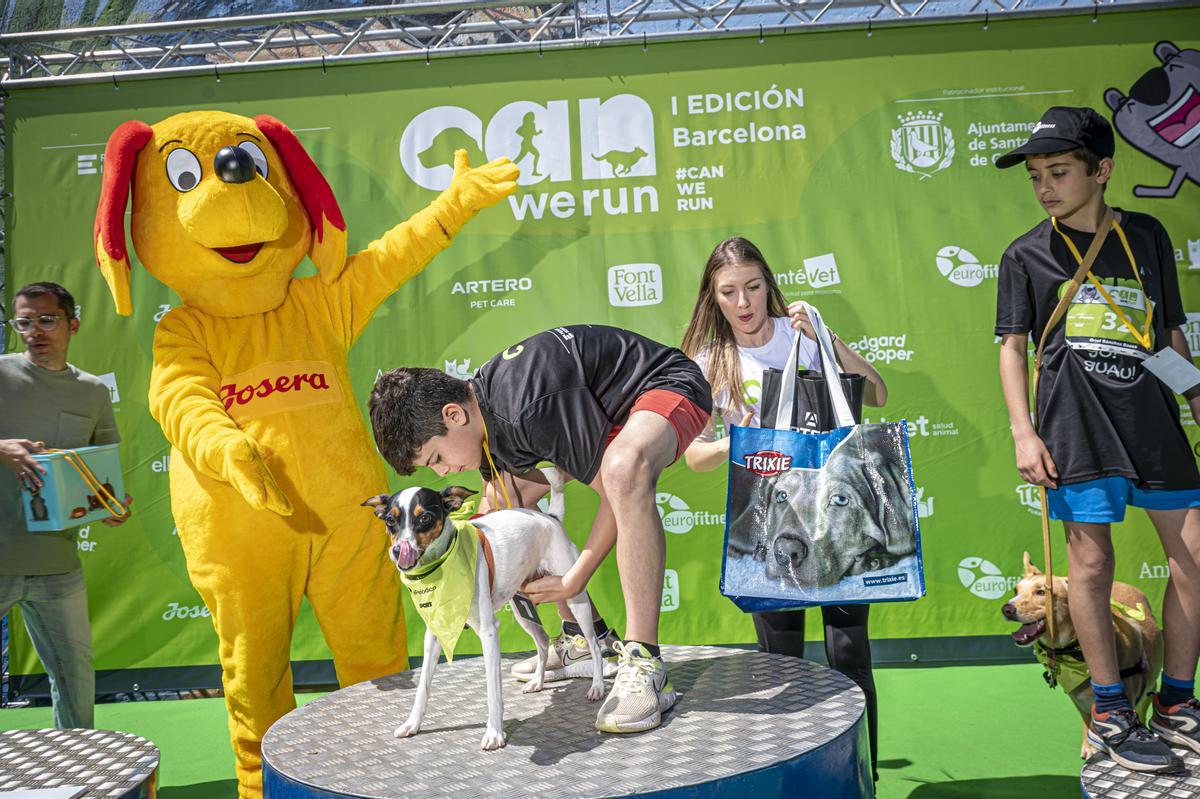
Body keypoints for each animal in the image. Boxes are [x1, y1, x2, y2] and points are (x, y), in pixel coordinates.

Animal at [352, 463, 600, 748]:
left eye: (425, 517)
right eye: (390, 521)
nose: (397, 551)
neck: (441, 568)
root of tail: (551, 518)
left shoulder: (489, 633)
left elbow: (493, 691)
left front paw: (494, 733)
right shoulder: (434, 634)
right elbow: (422, 687)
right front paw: (412, 724)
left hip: (574, 594)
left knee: (593, 644)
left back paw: (597, 687)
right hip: (523, 606)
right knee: (542, 641)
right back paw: (537, 681)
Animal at [1003, 551, 1161, 758]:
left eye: (1041, 592)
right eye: (1016, 590)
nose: (1006, 609)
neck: (1075, 651)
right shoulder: (1077, 699)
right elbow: (1088, 722)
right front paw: (1089, 745)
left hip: (1149, 687)